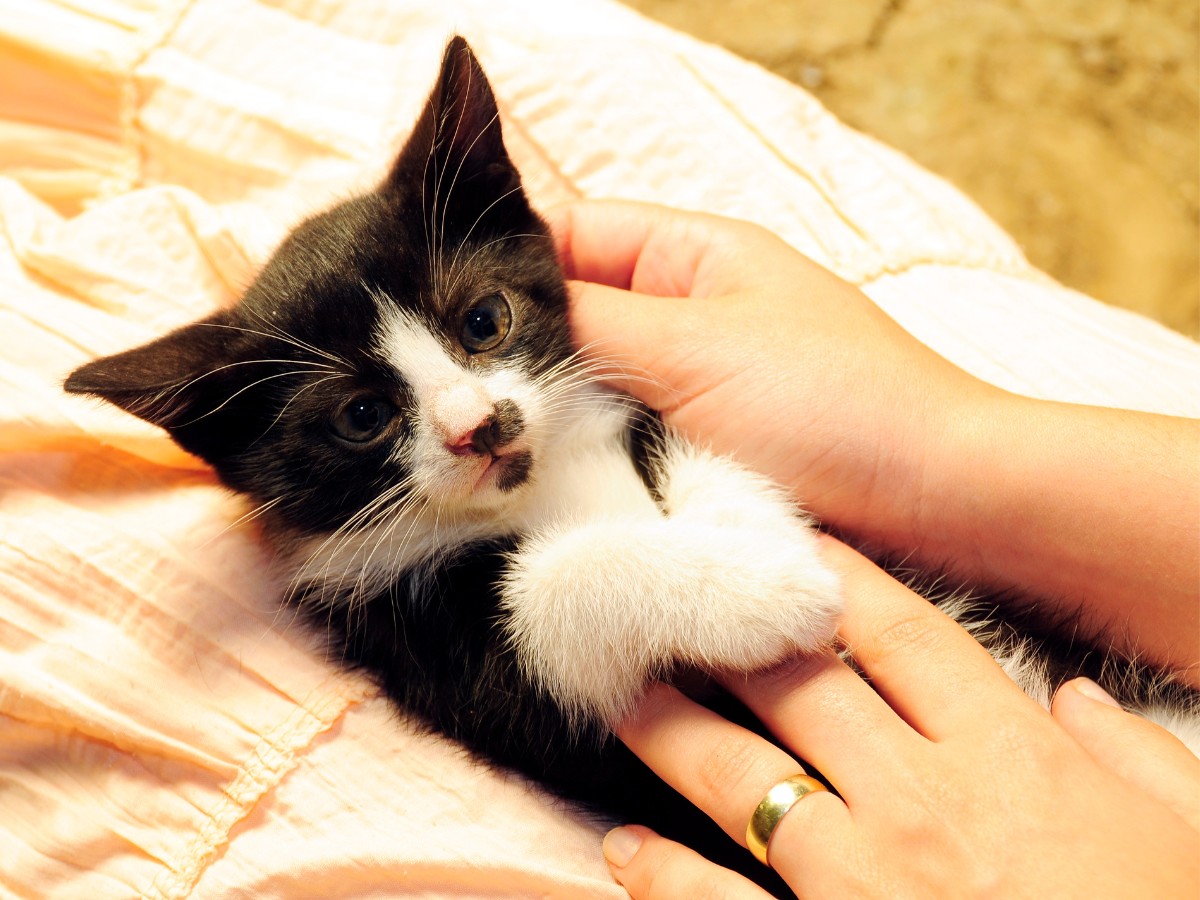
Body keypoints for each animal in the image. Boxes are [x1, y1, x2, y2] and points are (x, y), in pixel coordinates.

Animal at [65, 37, 1200, 897]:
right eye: (362, 415)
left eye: (484, 321)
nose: (480, 426)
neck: (545, 484)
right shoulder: (454, 657)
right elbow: (553, 597)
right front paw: (767, 595)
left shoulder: (645, 418)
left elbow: (704, 459)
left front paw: (763, 542)